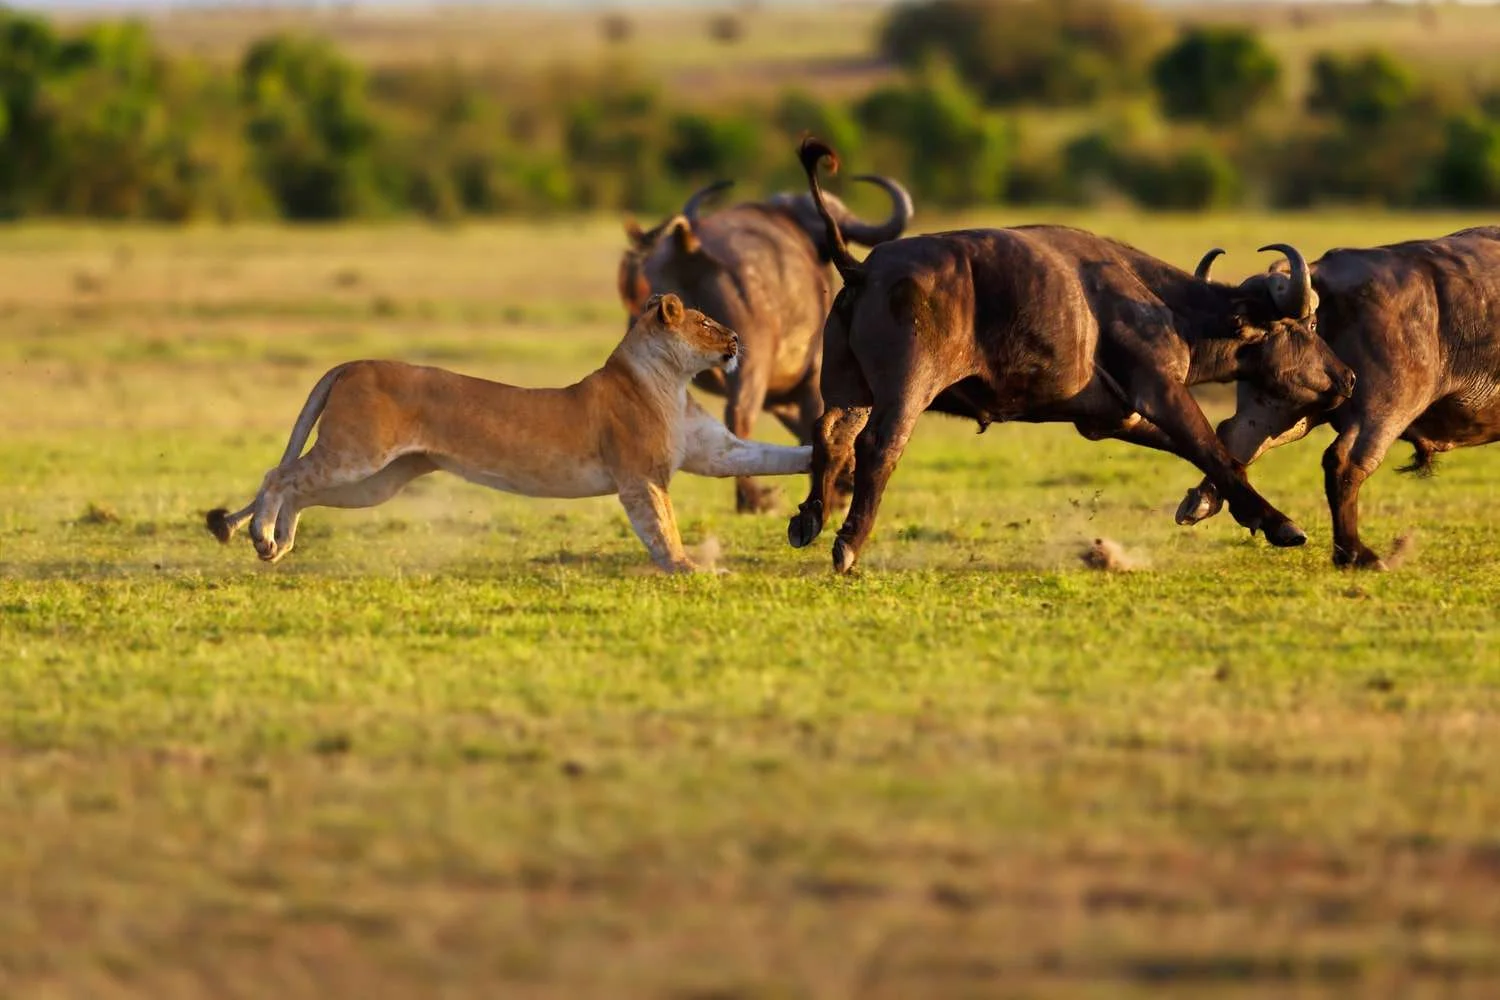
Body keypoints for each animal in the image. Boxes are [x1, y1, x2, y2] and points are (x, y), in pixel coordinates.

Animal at [204, 293, 811, 573]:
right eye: (706, 322)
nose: (737, 341)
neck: (672, 381)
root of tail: (352, 363)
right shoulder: (640, 475)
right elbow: (661, 526)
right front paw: (688, 567)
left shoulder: (716, 451)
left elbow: (768, 455)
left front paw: (824, 449)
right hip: (356, 454)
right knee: (279, 473)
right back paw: (260, 535)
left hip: (373, 481)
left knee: (299, 488)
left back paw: (278, 544)